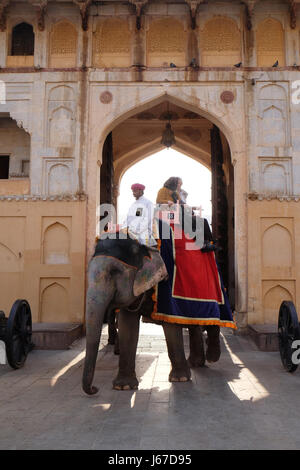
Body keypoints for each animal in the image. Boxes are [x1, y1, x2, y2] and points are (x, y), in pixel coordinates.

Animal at [82, 237, 220, 394]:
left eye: (114, 272)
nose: (95, 389)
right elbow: (127, 327)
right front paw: (123, 386)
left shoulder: (167, 286)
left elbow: (171, 326)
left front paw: (180, 379)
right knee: (194, 326)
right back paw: (195, 363)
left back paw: (211, 358)